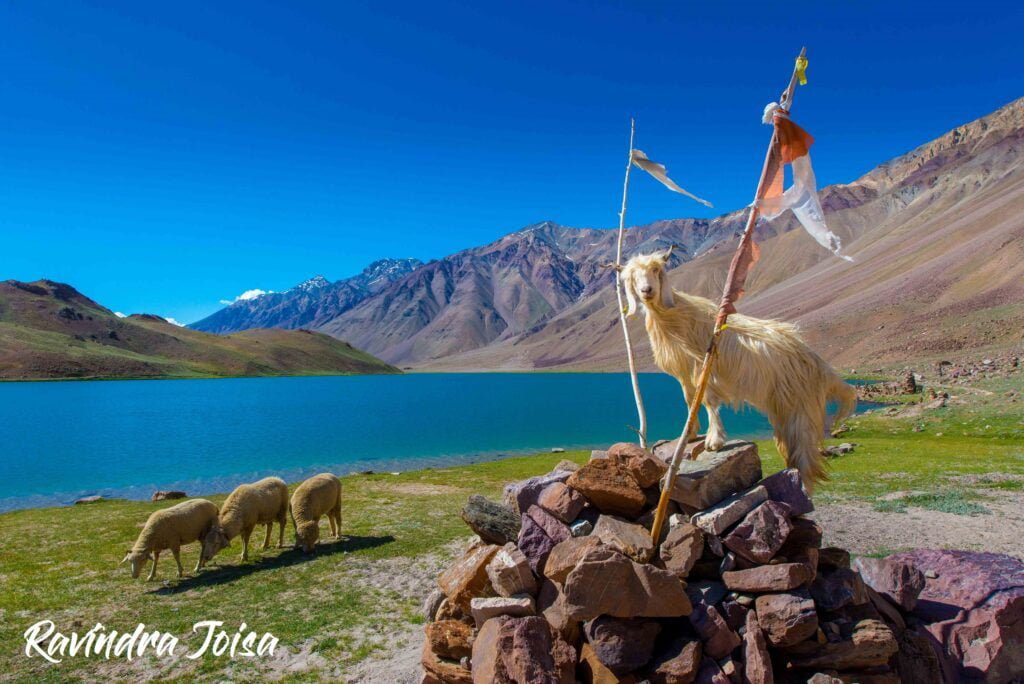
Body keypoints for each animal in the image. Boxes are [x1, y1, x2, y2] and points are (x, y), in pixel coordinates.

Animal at [621, 249, 857, 491]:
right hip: (784, 409)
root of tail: (818, 362)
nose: (647, 290)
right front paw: (690, 433)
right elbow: (689, 399)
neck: (676, 316)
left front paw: (714, 440)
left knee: (806, 459)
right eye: (632, 277)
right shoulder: (684, 371)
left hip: (802, 408)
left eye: (656, 270)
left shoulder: (704, 367)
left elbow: (707, 401)